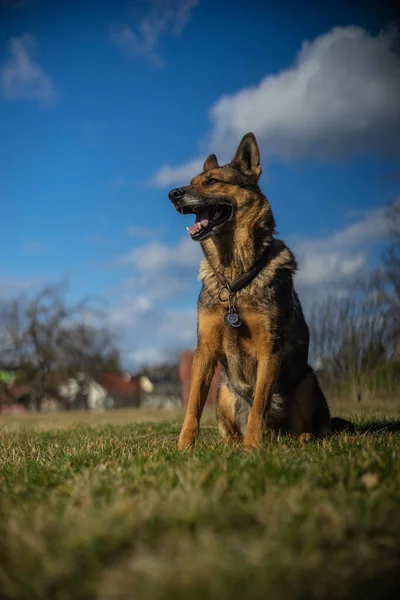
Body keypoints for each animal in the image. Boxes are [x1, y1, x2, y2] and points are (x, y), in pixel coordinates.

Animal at [169, 132, 354, 450]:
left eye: (212, 181)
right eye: (192, 180)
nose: (172, 194)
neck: (235, 280)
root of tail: (278, 434)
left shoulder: (270, 347)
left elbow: (259, 405)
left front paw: (252, 448)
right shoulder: (205, 349)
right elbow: (193, 404)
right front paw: (183, 447)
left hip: (307, 383)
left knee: (317, 427)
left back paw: (299, 437)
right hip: (224, 390)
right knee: (229, 426)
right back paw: (231, 442)